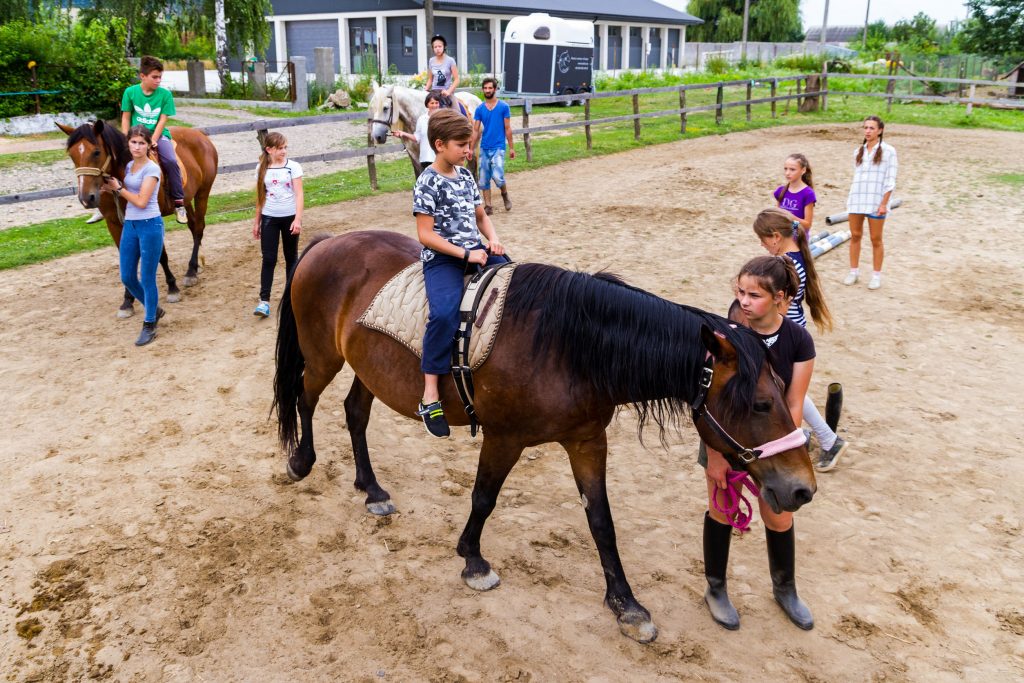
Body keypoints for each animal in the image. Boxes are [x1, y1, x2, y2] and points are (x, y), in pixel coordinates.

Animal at [58, 120, 218, 318]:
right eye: (72, 155)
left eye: (96, 152)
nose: (86, 198)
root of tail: (201, 135)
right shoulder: (114, 223)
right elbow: (125, 260)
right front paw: (127, 301)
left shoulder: (151, 217)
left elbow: (161, 255)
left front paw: (172, 288)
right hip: (186, 199)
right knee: (193, 225)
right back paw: (196, 268)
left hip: (203, 192)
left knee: (199, 228)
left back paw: (190, 272)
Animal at [273, 230, 817, 643]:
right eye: (760, 404)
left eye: (783, 392)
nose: (801, 488)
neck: (566, 346)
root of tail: (327, 242)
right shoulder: (504, 437)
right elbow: (484, 497)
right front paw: (473, 562)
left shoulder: (587, 441)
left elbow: (601, 522)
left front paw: (626, 604)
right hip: (323, 356)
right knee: (305, 399)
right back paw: (301, 462)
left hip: (366, 367)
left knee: (354, 414)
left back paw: (371, 489)